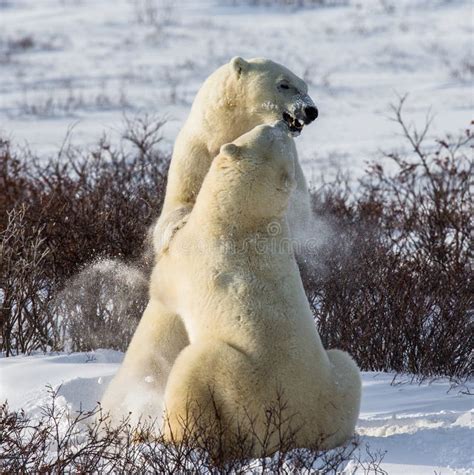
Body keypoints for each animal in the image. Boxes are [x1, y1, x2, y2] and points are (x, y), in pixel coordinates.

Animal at [154, 122, 362, 458]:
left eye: (266, 132)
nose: (282, 124)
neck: (245, 219)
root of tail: (294, 431)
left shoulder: (194, 250)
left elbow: (162, 282)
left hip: (241, 387)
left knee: (193, 367)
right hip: (336, 388)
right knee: (347, 362)